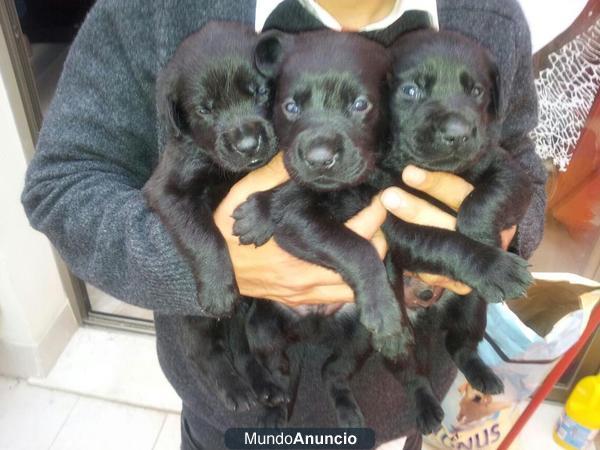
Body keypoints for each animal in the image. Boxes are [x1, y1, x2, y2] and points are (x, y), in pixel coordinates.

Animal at [143, 23, 284, 412]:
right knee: (208, 356)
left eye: (261, 91)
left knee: (244, 349)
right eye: (205, 109)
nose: (249, 145)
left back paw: (264, 383)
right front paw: (219, 289)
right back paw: (236, 391)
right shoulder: (167, 190)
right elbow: (204, 237)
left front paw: (261, 214)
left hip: (247, 315)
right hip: (196, 322)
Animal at [232, 29, 406, 428]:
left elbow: (381, 256)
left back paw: (348, 411)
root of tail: (312, 330)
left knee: (333, 371)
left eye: (360, 105)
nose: (319, 158)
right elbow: (356, 246)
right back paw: (274, 409)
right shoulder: (297, 226)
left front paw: (393, 320)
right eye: (290, 108)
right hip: (261, 328)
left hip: (357, 338)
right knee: (280, 371)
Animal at [382, 29, 532, 432]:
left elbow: (483, 201)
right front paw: (490, 263)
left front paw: (485, 239)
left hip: (471, 310)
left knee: (461, 347)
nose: (458, 132)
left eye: (477, 91)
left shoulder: (508, 168)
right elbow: (443, 240)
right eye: (411, 91)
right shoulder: (392, 214)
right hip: (397, 338)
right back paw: (427, 410)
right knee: (413, 375)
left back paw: (484, 376)